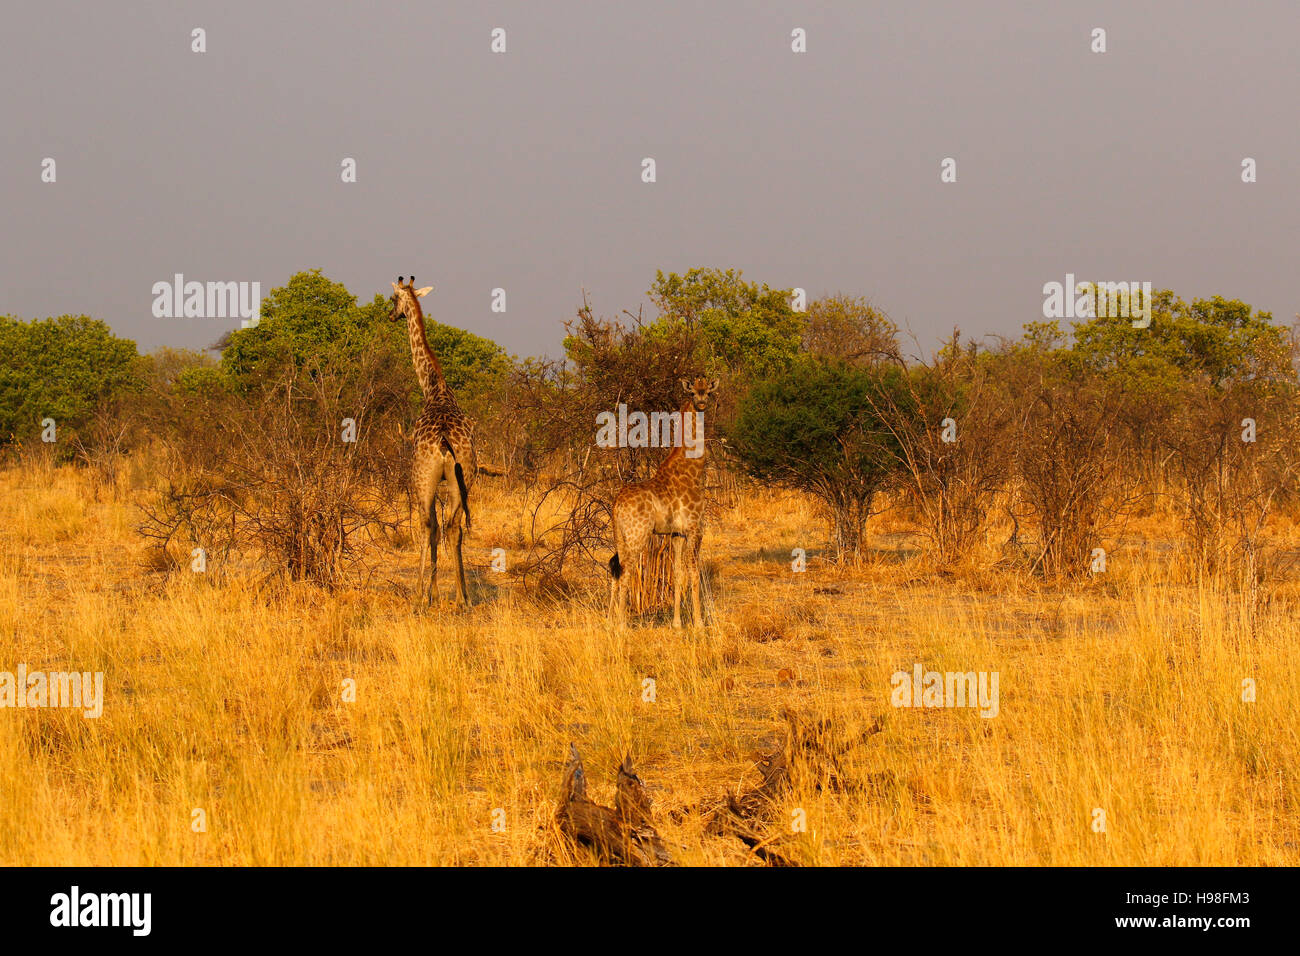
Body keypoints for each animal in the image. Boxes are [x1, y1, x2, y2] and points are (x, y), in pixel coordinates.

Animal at [390, 274, 483, 606]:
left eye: (392, 299)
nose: (390, 315)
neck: (434, 388)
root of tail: (444, 444)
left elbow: (429, 527)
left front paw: (427, 593)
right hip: (464, 477)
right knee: (454, 527)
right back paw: (462, 598)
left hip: (422, 478)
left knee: (428, 524)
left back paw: (419, 595)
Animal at [608, 377, 722, 632]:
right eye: (693, 392)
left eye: (709, 392)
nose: (701, 403)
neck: (692, 469)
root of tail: (617, 505)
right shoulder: (695, 528)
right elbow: (694, 573)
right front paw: (699, 623)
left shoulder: (677, 533)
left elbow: (678, 574)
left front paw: (677, 623)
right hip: (638, 535)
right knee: (626, 571)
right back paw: (621, 625)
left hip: (620, 536)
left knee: (616, 570)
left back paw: (609, 620)